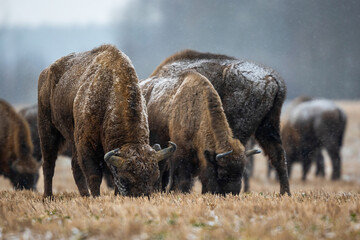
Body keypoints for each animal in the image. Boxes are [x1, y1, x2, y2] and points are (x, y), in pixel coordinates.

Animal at [37, 44, 175, 197]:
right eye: (125, 179)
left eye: (155, 177)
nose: (142, 196)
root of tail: (46, 72)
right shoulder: (87, 146)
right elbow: (94, 175)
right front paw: (96, 197)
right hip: (47, 130)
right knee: (49, 164)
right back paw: (48, 196)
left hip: (72, 141)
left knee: (74, 168)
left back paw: (84, 195)